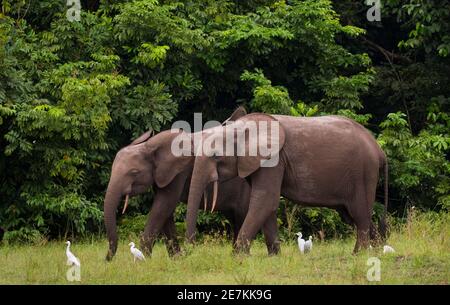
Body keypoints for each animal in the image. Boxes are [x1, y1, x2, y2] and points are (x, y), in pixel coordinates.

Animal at [185, 113, 388, 253]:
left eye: (216, 156)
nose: (191, 250)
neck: (243, 127)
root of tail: (379, 150)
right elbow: (267, 205)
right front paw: (274, 256)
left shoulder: (274, 160)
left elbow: (265, 200)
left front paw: (238, 256)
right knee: (354, 215)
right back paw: (377, 251)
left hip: (363, 173)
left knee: (360, 214)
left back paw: (358, 255)